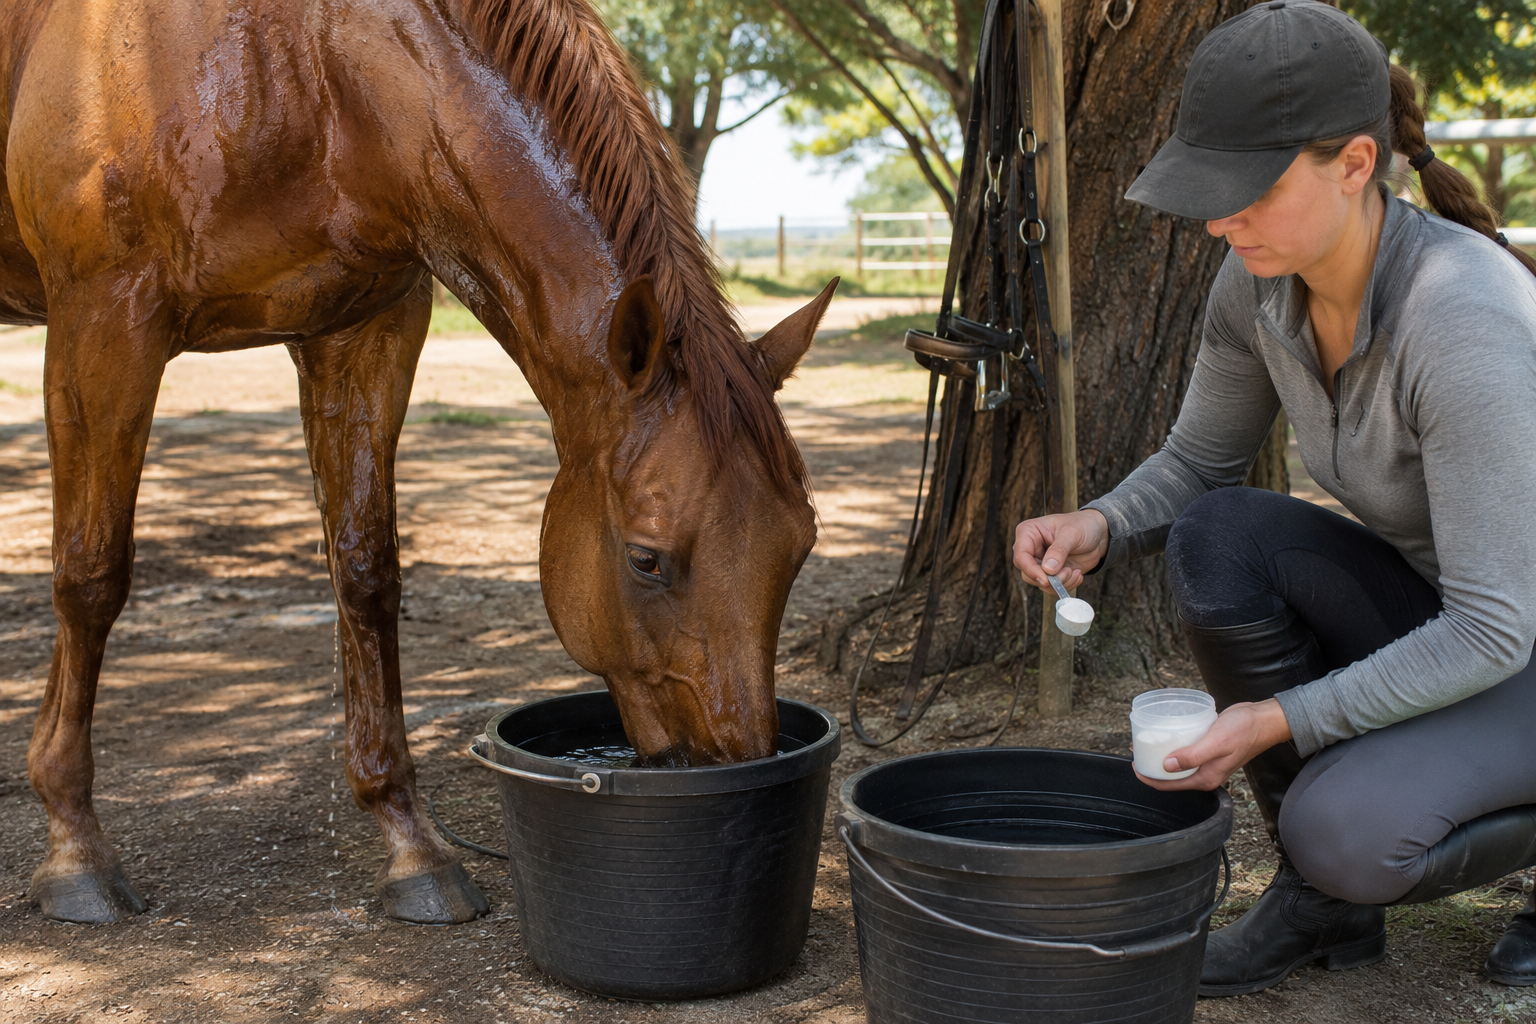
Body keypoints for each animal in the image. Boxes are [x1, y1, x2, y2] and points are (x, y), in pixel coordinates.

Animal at [0, 0, 834, 925]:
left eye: (800, 546)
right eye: (647, 559)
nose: (739, 769)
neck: (305, 64)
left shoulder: (365, 328)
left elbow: (366, 575)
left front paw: (411, 844)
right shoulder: (103, 323)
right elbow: (90, 575)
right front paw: (75, 848)